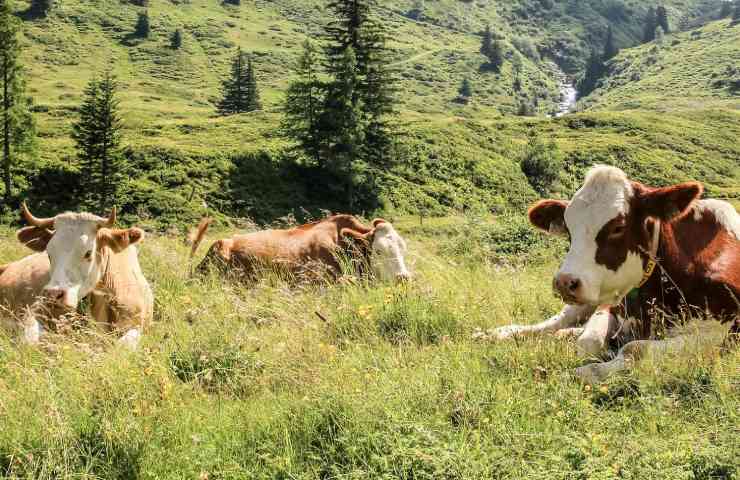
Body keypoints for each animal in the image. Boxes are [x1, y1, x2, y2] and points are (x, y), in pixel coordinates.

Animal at [0, 203, 153, 348]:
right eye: (49, 253)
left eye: (88, 253)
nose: (53, 294)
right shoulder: (35, 311)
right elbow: (29, 341)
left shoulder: (137, 325)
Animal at [492, 166, 740, 382]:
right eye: (569, 229)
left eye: (618, 227)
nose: (564, 282)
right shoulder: (611, 302)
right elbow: (588, 341)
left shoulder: (721, 331)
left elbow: (634, 349)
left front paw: (578, 374)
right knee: (557, 321)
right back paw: (501, 333)